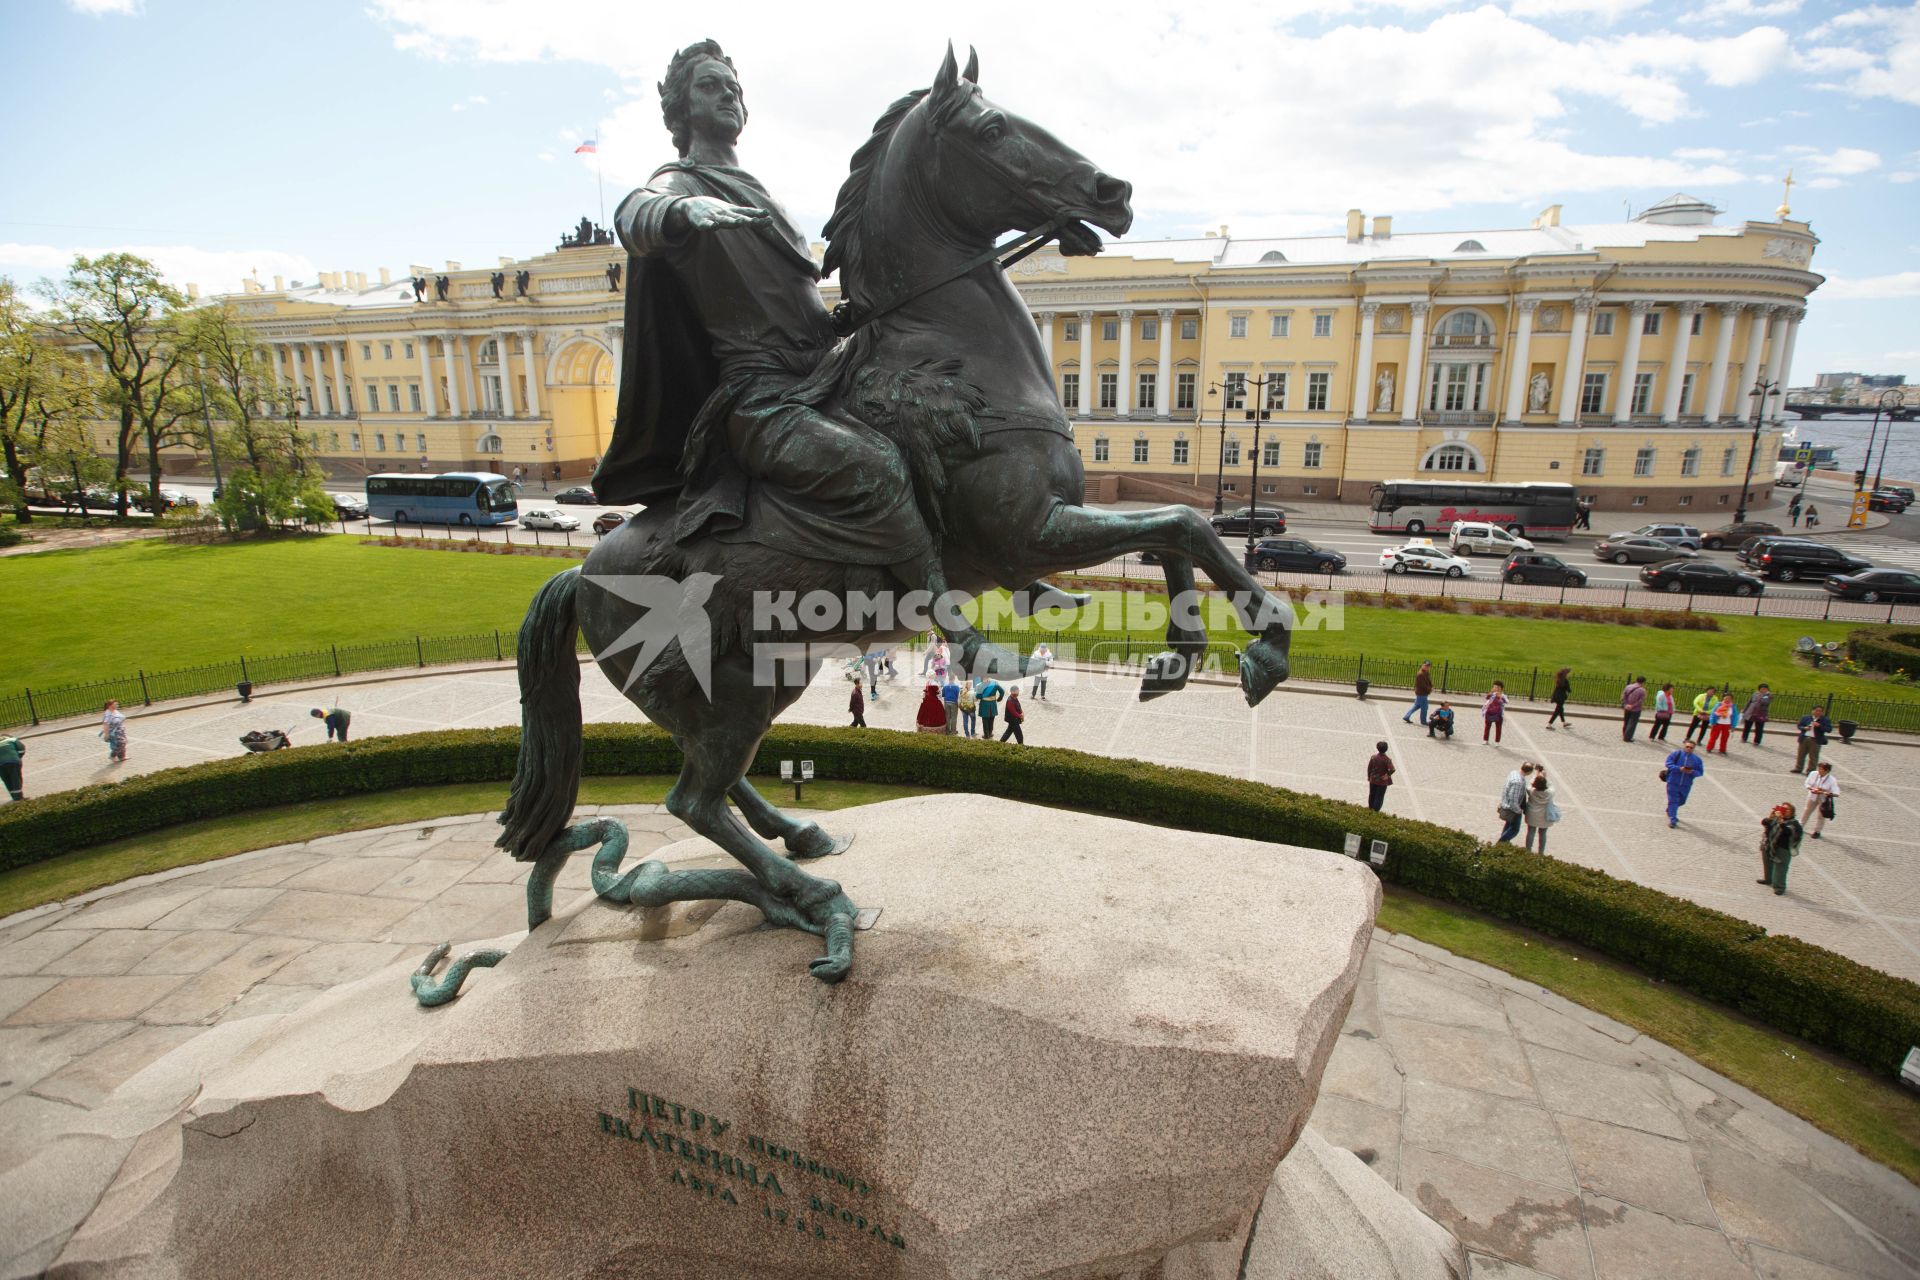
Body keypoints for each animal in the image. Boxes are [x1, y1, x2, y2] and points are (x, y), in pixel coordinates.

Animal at [495, 40, 1297, 982]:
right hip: (732, 686)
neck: (946, 361)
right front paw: (1264, 648)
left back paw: (800, 841)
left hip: (758, 677)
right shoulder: (1028, 534)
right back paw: (815, 901)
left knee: (711, 785)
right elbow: (1188, 525)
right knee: (693, 799)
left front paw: (1180, 654)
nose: (1113, 190)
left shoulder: (1050, 532)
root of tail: (578, 572)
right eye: (991, 129)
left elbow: (1175, 537)